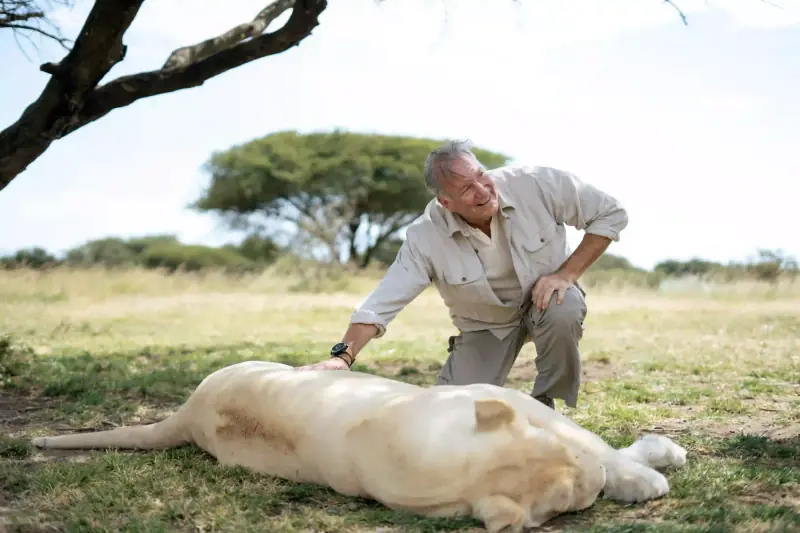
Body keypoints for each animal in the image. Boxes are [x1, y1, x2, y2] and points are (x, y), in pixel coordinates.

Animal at [31, 361, 687, 532]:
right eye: (576, 500)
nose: (594, 481)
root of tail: (189, 410)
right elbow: (606, 454)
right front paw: (645, 477)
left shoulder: (501, 397)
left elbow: (594, 441)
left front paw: (652, 462)